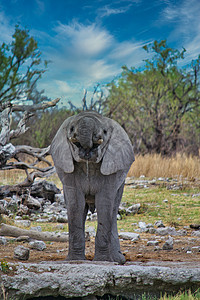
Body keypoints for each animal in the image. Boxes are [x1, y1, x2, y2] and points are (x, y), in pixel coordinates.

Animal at [50, 111, 134, 264]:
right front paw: (73, 260)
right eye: (71, 129)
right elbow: (76, 204)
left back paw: (118, 260)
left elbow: (104, 203)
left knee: (113, 210)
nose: (87, 151)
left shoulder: (112, 169)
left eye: (105, 131)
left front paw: (103, 261)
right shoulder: (67, 169)